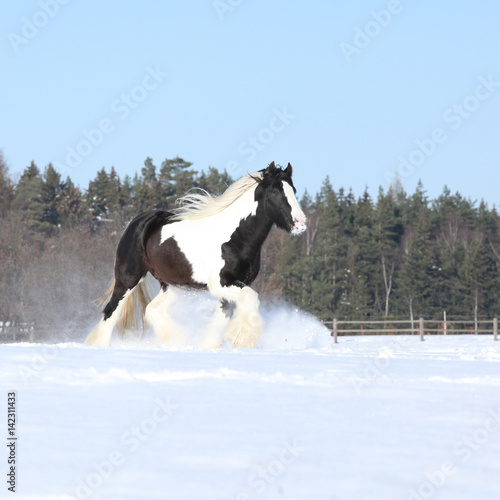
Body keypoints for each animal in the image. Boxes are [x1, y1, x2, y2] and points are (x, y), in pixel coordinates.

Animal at [85, 163, 304, 348]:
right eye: (275, 191)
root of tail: (139, 221)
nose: (300, 224)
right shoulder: (222, 283)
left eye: (293, 190)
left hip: (172, 285)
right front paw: (242, 337)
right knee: (111, 311)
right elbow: (252, 298)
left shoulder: (234, 285)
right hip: (128, 278)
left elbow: (223, 317)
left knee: (153, 310)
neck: (235, 236)